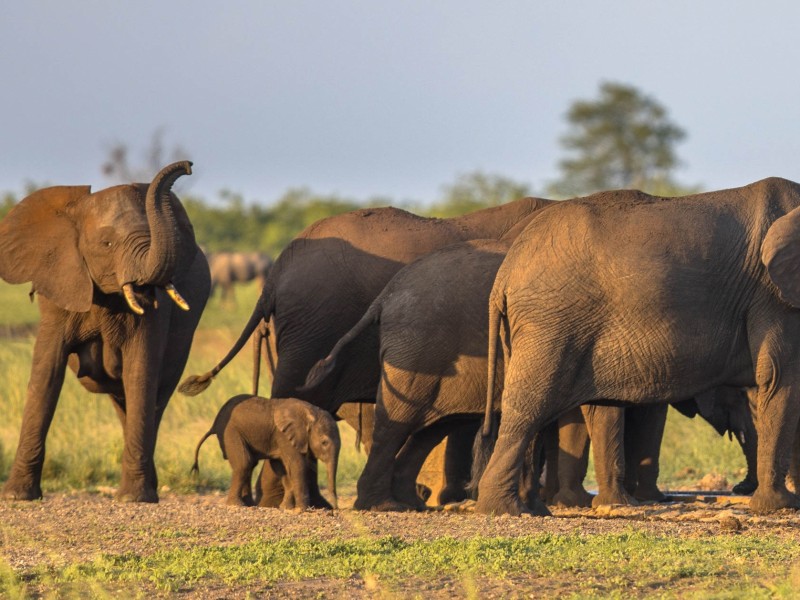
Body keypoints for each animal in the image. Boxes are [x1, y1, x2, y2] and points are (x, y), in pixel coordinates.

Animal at [0, 161, 209, 503]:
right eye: (107, 244)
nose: (188, 166)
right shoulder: (57, 293)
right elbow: (46, 374)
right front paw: (18, 496)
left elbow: (140, 372)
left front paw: (134, 499)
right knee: (123, 399)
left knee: (154, 396)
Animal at [192, 395, 340, 509]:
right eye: (324, 443)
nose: (335, 509)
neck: (310, 412)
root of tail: (214, 423)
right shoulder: (284, 436)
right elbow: (297, 465)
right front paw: (303, 510)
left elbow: (281, 467)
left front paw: (286, 508)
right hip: (230, 432)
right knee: (244, 464)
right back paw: (237, 505)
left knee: (250, 464)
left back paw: (250, 505)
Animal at [303, 239, 668, 510]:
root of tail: (386, 294)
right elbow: (595, 411)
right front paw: (615, 504)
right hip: (416, 350)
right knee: (398, 422)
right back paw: (384, 506)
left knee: (434, 426)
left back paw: (410, 502)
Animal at [476, 178, 800, 516]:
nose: (740, 489)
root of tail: (505, 273)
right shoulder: (772, 295)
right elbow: (780, 376)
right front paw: (781, 505)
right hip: (549, 323)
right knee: (529, 406)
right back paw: (504, 509)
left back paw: (533, 508)